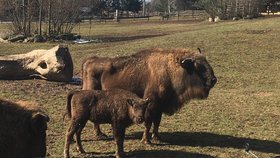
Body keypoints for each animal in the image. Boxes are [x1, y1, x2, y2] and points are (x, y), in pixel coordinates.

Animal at [81, 47, 217, 144]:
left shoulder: (160, 107)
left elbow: (156, 123)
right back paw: (100, 134)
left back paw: (100, 134)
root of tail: (89, 61)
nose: (213, 80)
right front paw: (146, 140)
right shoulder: (150, 105)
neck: (170, 70)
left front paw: (157, 137)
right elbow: (148, 123)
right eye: (198, 66)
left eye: (206, 62)